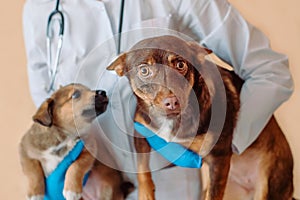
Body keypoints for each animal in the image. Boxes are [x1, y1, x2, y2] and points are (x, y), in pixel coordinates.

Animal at [106, 36, 294, 200]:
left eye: (180, 64)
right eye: (144, 70)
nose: (172, 102)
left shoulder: (219, 159)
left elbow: (213, 196)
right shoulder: (140, 131)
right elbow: (142, 169)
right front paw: (145, 194)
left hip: (269, 185)